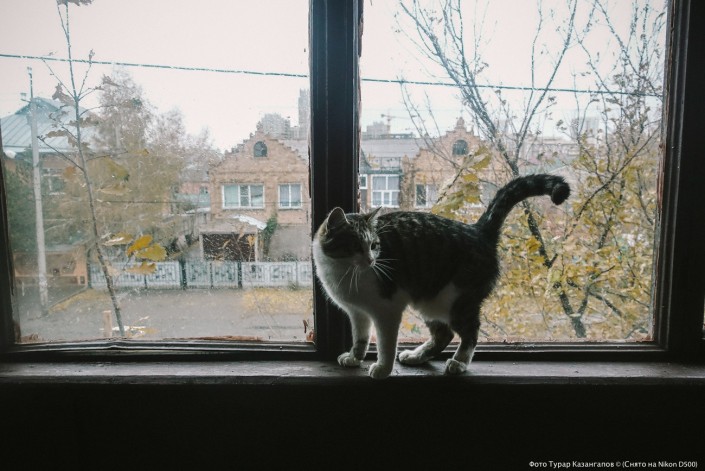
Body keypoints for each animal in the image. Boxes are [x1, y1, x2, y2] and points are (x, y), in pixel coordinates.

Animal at [312, 174, 570, 379]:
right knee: (444, 334)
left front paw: (382, 369)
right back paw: (416, 356)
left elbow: (386, 344)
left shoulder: (387, 310)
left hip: (455, 300)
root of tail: (478, 230)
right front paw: (354, 357)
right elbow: (360, 337)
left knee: (470, 331)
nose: (371, 260)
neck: (344, 273)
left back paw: (459, 363)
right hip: (430, 302)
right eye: (356, 246)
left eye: (374, 245)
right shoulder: (357, 312)